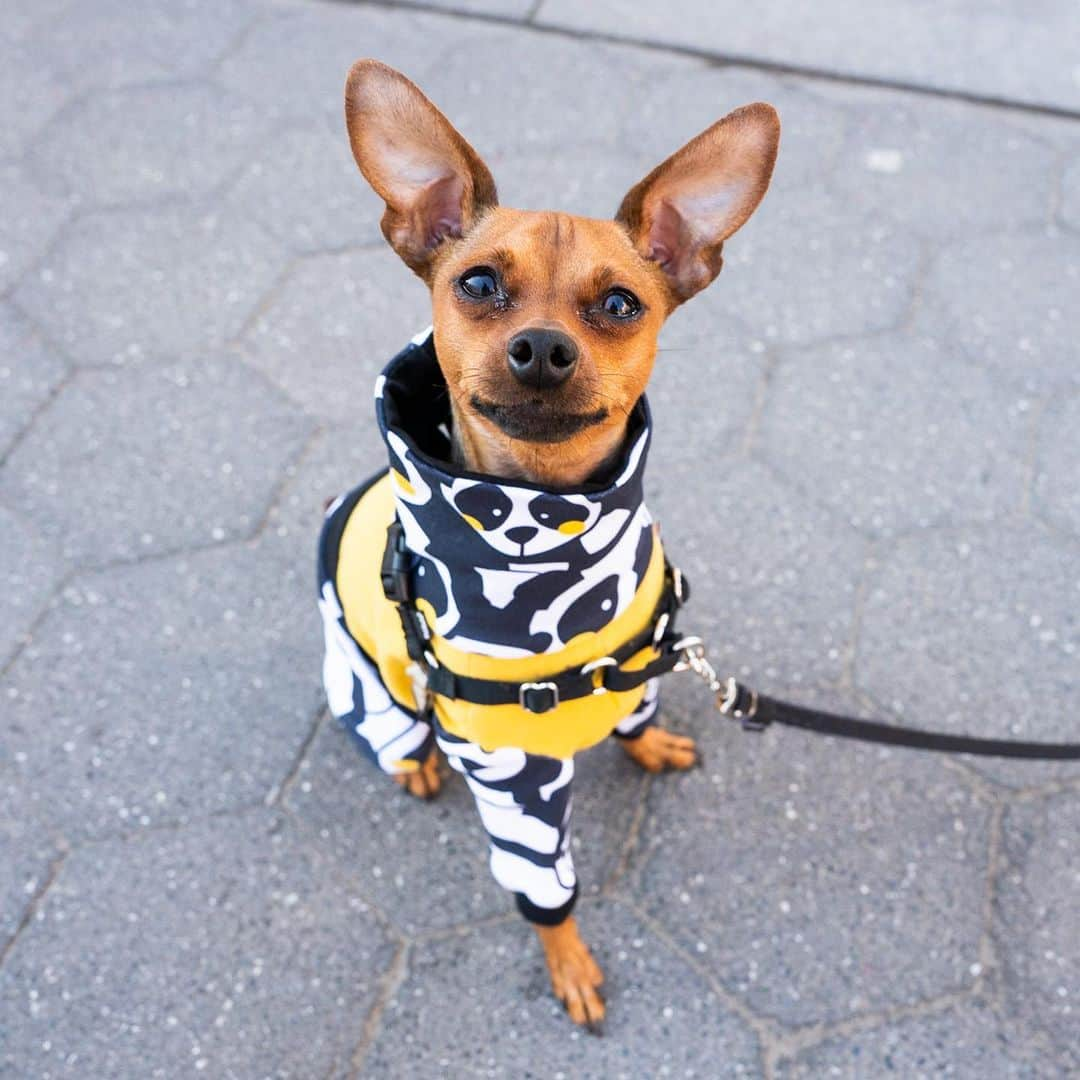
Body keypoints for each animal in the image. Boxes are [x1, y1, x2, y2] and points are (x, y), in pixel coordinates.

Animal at [315, 61, 781, 1028]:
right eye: (478, 284)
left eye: (620, 304)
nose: (540, 348)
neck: (548, 520)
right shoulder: (515, 782)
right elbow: (545, 885)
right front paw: (568, 961)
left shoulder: (644, 662)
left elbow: (638, 718)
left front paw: (648, 747)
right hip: (372, 688)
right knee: (395, 734)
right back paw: (412, 764)